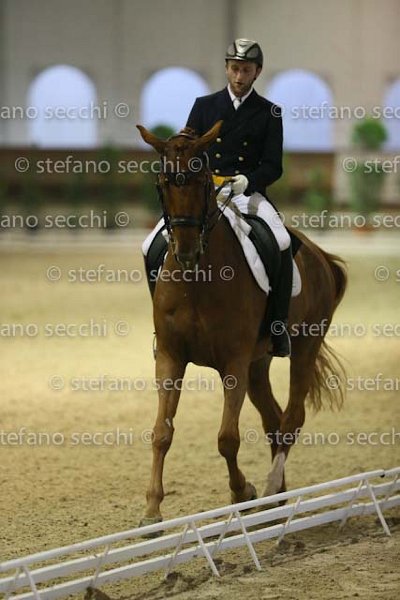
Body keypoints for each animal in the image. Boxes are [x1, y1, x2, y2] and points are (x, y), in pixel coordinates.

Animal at [136, 121, 347, 525]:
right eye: (163, 183)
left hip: (305, 344)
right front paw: (152, 509)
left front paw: (241, 490)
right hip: (258, 362)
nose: (186, 251)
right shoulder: (170, 357)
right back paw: (278, 494)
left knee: (292, 418)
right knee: (273, 419)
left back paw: (268, 490)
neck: (197, 281)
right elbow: (160, 432)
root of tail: (318, 254)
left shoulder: (233, 362)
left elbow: (227, 438)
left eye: (204, 182)